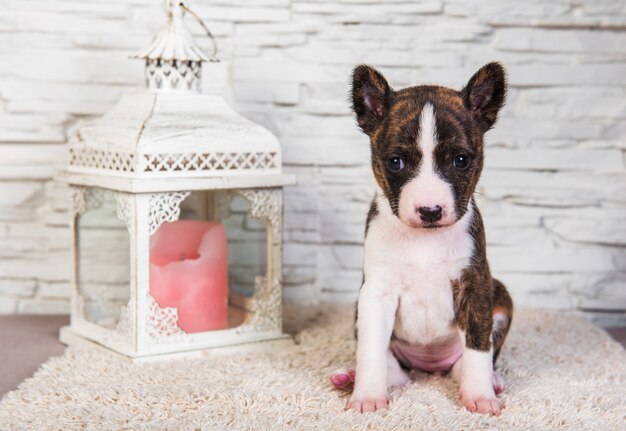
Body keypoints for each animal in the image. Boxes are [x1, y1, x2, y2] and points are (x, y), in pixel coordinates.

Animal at [332, 62, 512, 416]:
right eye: (396, 162)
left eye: (461, 160)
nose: (430, 210)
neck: (424, 240)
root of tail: (429, 368)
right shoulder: (376, 294)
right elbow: (371, 351)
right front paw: (367, 396)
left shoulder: (475, 285)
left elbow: (478, 348)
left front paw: (481, 395)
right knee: (392, 369)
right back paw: (350, 376)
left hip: (500, 299)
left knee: (468, 362)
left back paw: (492, 381)